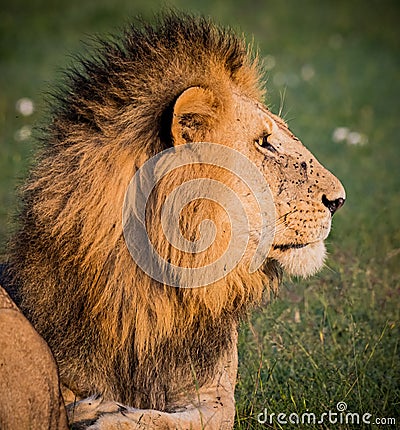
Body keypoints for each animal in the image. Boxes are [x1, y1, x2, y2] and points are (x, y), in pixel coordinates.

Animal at [0, 12, 344, 430]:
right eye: (264, 143)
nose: (339, 200)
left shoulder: (214, 392)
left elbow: (174, 419)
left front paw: (104, 414)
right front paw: (93, 408)